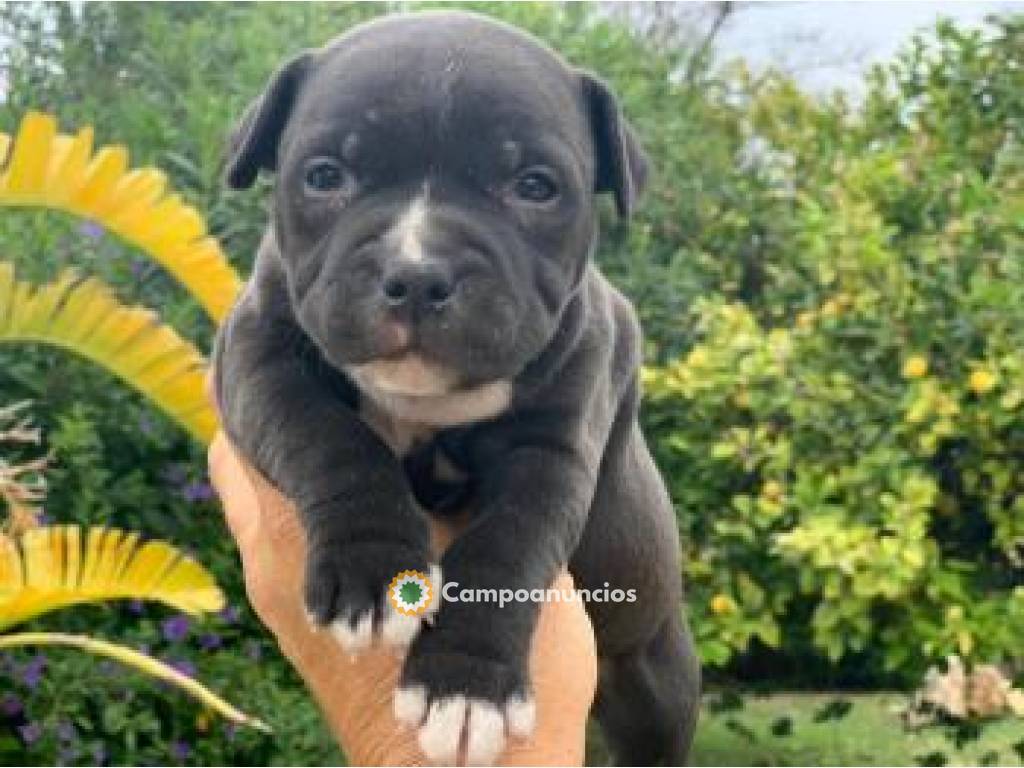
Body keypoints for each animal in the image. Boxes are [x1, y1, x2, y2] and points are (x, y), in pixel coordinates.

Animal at [211, 9, 700, 765]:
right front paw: (375, 567)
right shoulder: (254, 357)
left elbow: (507, 544)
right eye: (324, 176)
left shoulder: (552, 452)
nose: (416, 274)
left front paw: (465, 689)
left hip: (658, 680)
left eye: (535, 186)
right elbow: (326, 434)